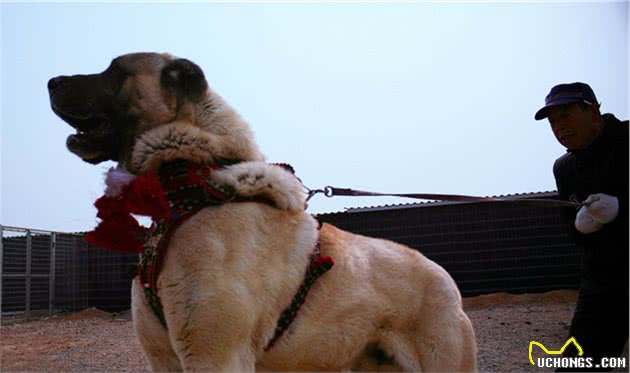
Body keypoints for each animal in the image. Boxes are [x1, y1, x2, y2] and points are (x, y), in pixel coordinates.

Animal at [49, 53, 478, 372]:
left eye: (115, 71)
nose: (52, 81)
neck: (188, 192)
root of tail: (444, 278)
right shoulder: (163, 359)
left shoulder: (214, 356)